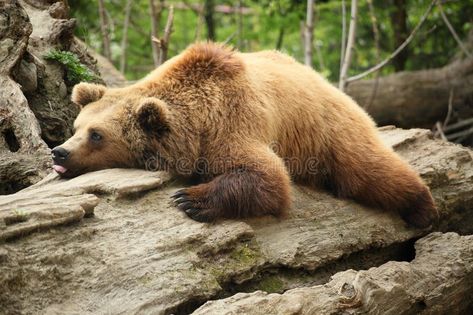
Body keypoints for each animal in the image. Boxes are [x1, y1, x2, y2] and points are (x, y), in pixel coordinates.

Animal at [50, 43, 436, 228]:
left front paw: (190, 199)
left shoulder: (231, 122)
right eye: (76, 128)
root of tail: (323, 80)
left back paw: (423, 207)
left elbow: (266, 175)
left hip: (329, 130)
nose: (59, 152)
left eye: (97, 135)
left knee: (369, 170)